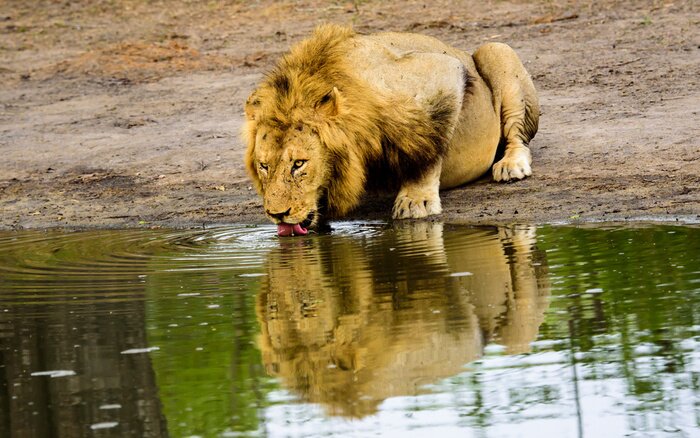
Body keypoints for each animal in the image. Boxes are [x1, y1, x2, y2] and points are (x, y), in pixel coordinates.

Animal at [243, 25, 539, 235]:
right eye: (264, 166)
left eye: (299, 164)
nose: (277, 214)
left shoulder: (442, 73)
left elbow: (429, 149)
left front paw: (416, 202)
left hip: (496, 49)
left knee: (517, 136)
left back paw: (511, 165)